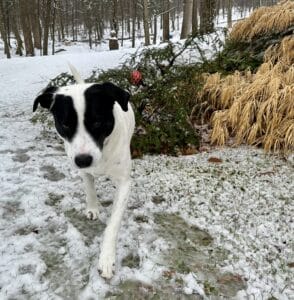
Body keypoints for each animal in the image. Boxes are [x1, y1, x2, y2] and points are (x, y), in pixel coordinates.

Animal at [33, 65, 136, 278]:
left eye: (97, 122)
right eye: (65, 124)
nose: (83, 160)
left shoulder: (124, 182)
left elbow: (113, 224)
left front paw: (106, 258)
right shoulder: (82, 168)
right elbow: (89, 187)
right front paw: (93, 208)